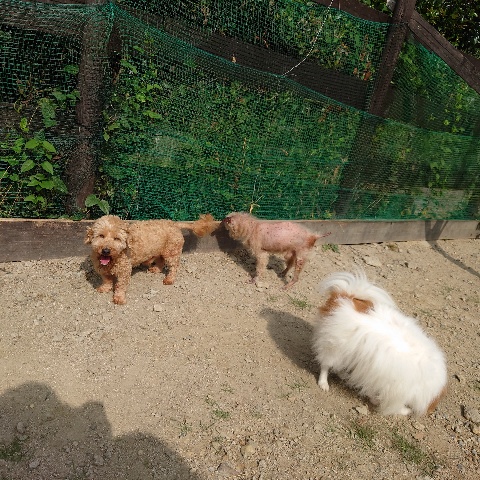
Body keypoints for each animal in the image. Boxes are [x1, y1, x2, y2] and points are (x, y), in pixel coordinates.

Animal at [85, 214, 218, 304]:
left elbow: (120, 285)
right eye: (101, 236)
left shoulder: (124, 271)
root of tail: (174, 224)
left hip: (171, 252)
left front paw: (119, 298)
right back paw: (156, 269)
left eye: (117, 238)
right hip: (160, 251)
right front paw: (105, 288)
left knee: (173, 266)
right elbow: (106, 280)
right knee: (161, 261)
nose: (106, 250)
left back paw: (169, 279)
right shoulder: (102, 269)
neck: (112, 259)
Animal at [312, 271, 447, 415]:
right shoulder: (393, 389)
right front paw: (404, 410)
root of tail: (346, 296)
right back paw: (323, 383)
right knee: (325, 365)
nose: (431, 411)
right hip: (334, 346)